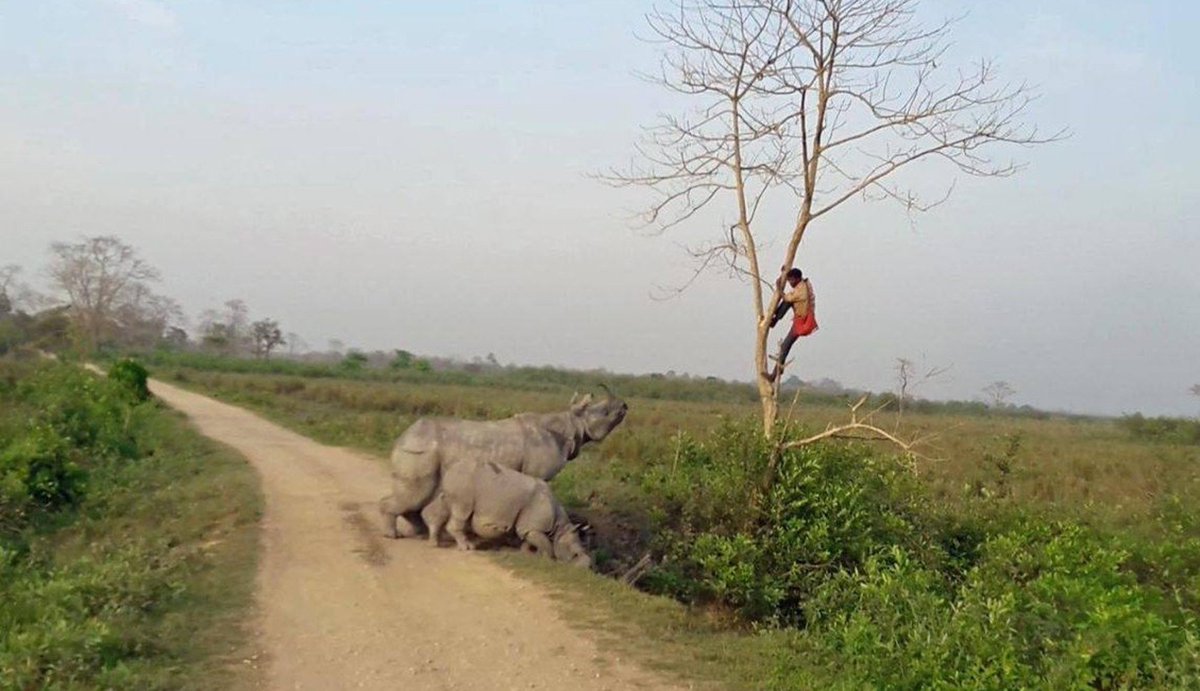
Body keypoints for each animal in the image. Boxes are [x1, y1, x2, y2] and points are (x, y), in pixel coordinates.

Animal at [379, 390, 627, 539]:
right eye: (605, 412)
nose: (625, 405)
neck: (571, 424)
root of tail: (403, 437)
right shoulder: (537, 474)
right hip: (422, 450)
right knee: (417, 493)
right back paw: (392, 535)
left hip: (422, 449)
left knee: (420, 496)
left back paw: (419, 532)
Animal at [422, 460, 591, 568]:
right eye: (575, 555)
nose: (585, 568)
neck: (560, 527)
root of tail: (450, 470)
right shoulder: (534, 527)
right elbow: (546, 544)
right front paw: (548, 560)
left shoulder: (528, 527)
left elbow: (528, 540)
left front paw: (527, 554)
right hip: (464, 485)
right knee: (461, 512)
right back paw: (467, 548)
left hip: (458, 483)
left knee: (445, 505)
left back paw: (433, 543)